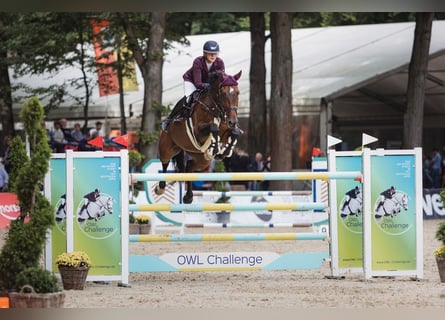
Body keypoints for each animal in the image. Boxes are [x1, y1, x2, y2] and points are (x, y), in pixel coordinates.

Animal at [154, 71, 241, 204]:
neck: (215, 109)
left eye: (237, 93)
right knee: (165, 163)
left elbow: (234, 132)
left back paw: (188, 197)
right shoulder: (197, 132)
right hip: (167, 148)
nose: (232, 121)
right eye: (223, 93)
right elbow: (213, 127)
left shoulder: (226, 131)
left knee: (189, 167)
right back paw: (160, 188)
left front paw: (223, 152)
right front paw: (215, 147)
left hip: (202, 159)